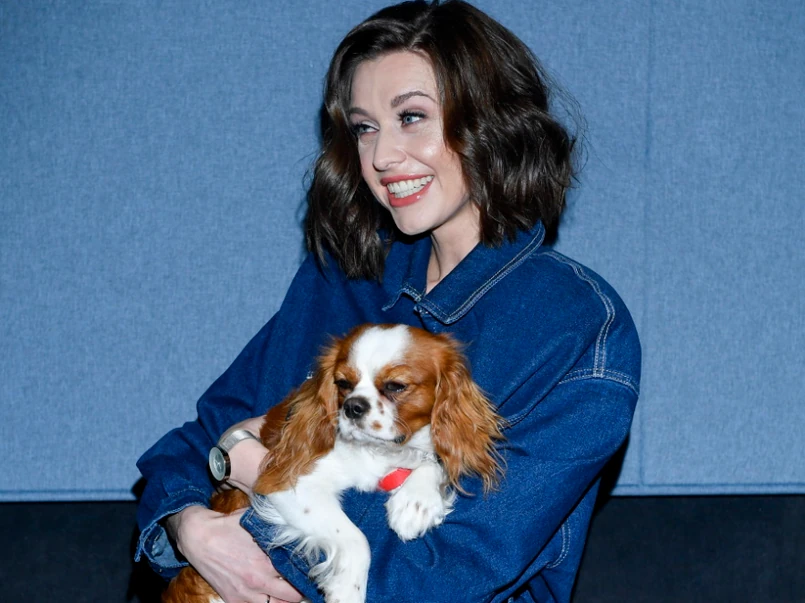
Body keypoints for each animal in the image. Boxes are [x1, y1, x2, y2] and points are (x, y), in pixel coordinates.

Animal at [164, 323, 503, 603]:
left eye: (395, 386)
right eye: (342, 383)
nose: (353, 407)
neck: (380, 452)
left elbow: (434, 461)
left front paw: (415, 503)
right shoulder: (287, 484)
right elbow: (355, 538)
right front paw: (347, 591)